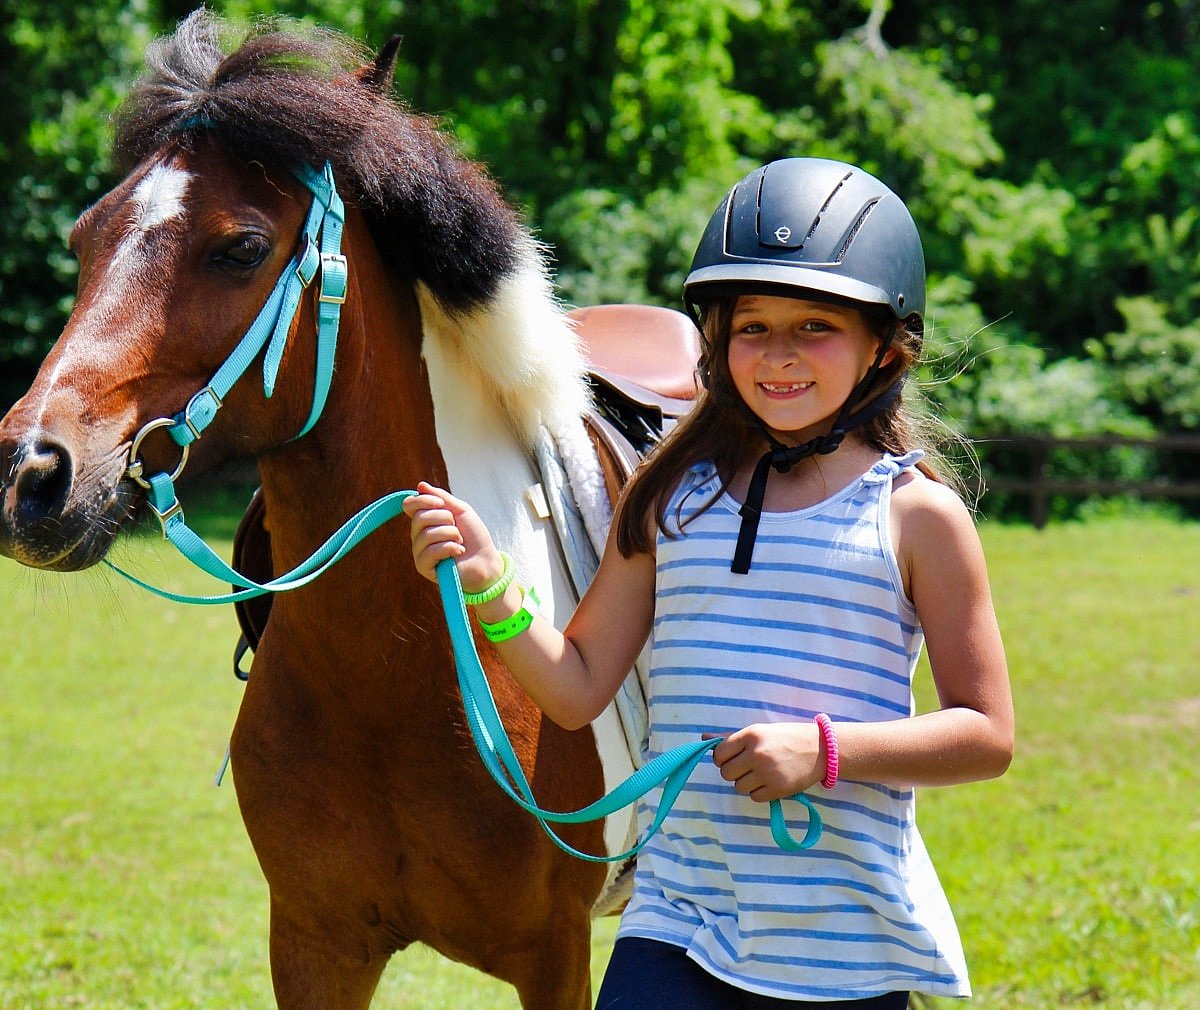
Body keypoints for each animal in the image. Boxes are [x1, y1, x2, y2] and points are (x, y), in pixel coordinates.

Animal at [0, 13, 700, 1008]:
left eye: (242, 248)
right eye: (86, 238)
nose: (33, 473)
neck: (396, 665)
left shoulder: (554, 955)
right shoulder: (314, 943)